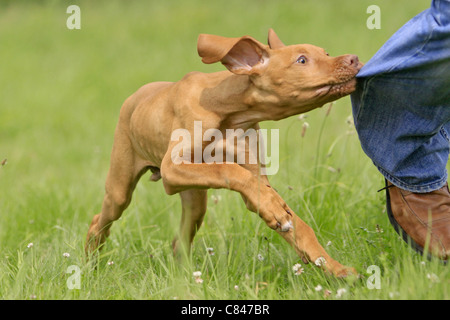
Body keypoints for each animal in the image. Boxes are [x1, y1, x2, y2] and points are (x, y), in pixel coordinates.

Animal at [85, 28, 362, 276]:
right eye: (301, 60)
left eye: (326, 53)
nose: (354, 59)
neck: (228, 112)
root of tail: (137, 94)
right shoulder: (172, 168)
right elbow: (228, 168)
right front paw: (273, 207)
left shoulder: (254, 175)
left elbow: (297, 224)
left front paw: (335, 268)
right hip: (121, 187)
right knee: (100, 219)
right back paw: (90, 264)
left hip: (195, 199)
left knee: (180, 241)